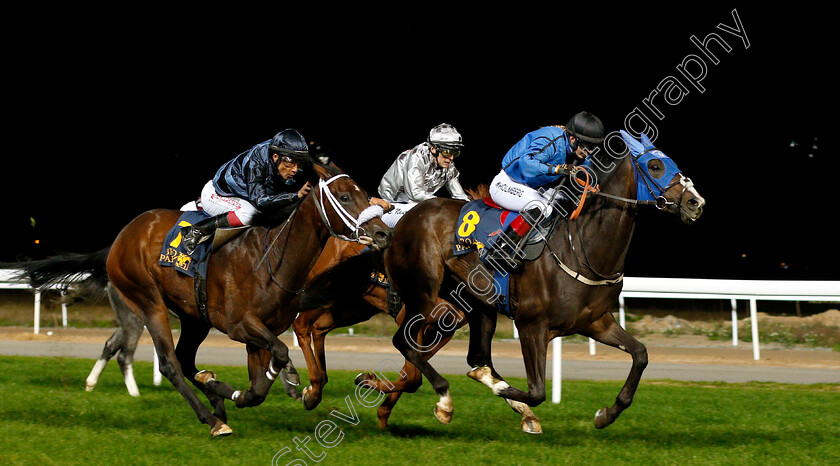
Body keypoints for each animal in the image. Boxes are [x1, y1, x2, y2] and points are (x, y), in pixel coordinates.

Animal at [13, 162, 390, 436]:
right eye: (344, 196)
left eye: (365, 193)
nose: (383, 233)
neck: (270, 258)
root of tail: (120, 239)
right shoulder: (240, 326)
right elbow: (278, 356)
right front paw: (287, 382)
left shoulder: (259, 332)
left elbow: (259, 385)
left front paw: (253, 389)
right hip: (147, 301)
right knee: (170, 364)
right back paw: (212, 420)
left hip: (194, 317)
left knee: (185, 360)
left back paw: (212, 392)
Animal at [344, 131, 704, 434]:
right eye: (655, 166)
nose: (695, 203)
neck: (581, 248)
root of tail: (405, 216)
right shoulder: (532, 325)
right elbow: (537, 391)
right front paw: (502, 390)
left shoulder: (595, 322)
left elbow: (640, 354)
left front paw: (606, 414)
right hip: (424, 296)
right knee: (406, 344)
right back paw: (438, 400)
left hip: (476, 306)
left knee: (468, 357)